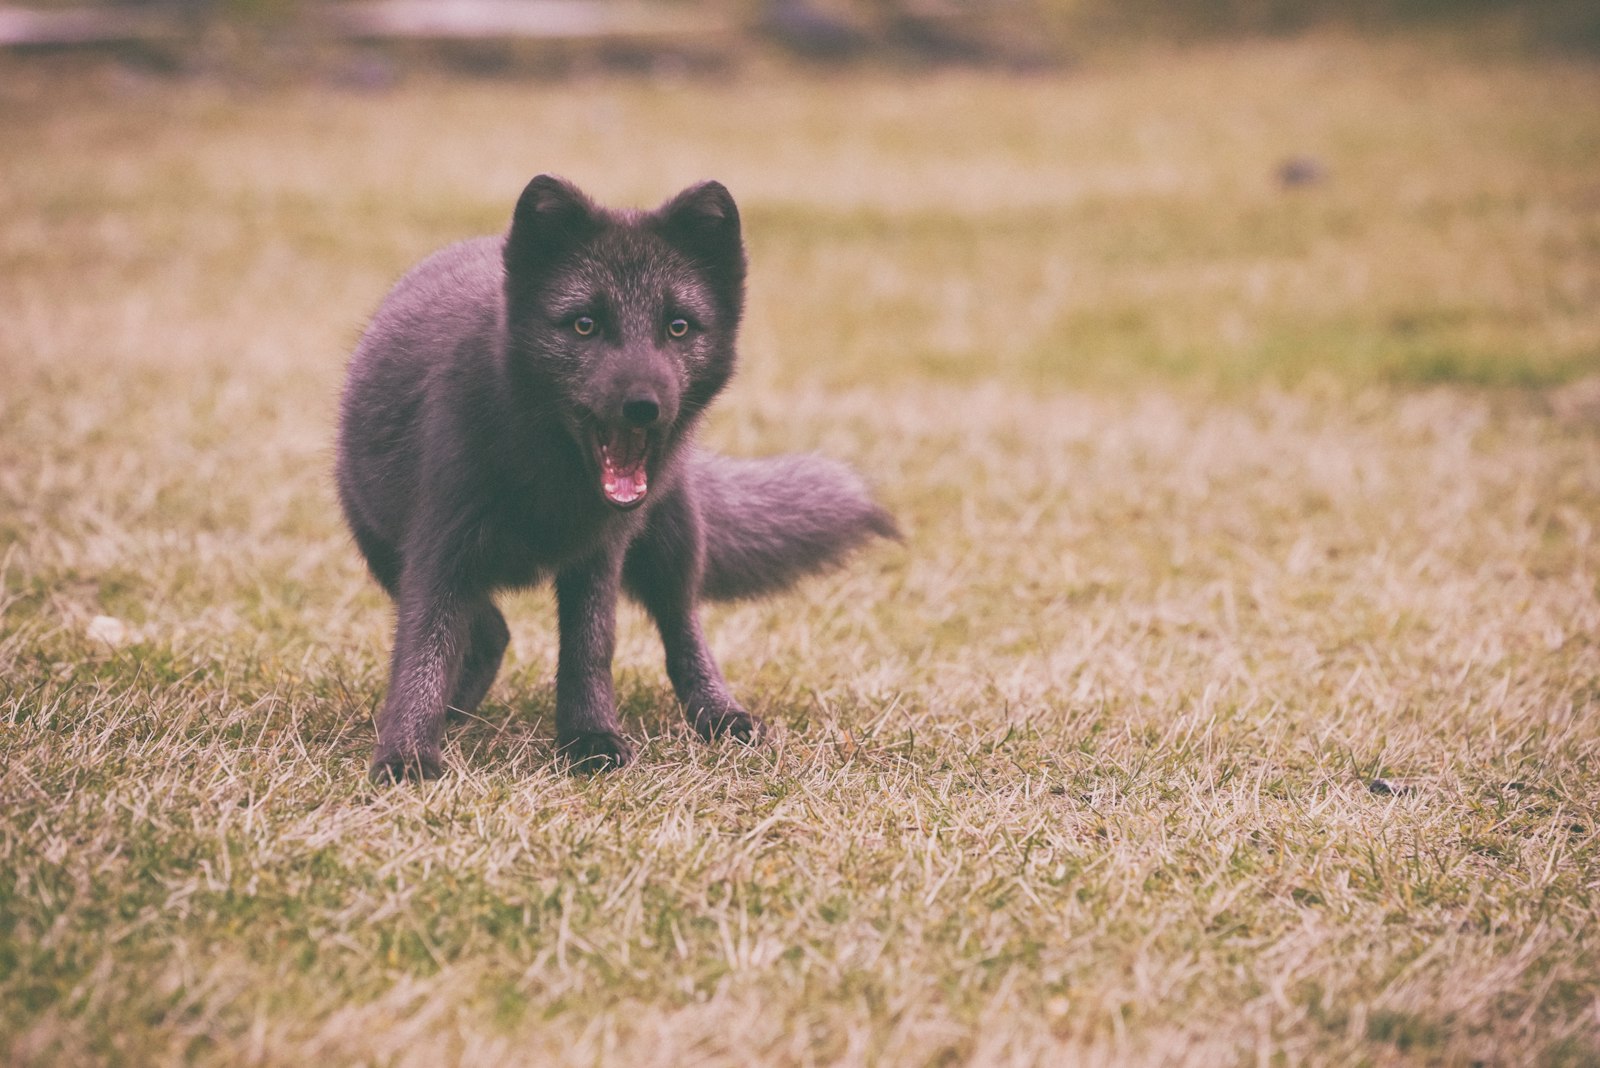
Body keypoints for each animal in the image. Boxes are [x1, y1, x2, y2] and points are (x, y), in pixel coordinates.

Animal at [336, 173, 896, 777]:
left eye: (678, 327)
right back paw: (456, 712)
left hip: (673, 541)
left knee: (683, 628)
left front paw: (590, 738)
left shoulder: (599, 554)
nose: (643, 407)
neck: (549, 482)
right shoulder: (439, 551)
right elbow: (424, 653)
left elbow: (590, 649)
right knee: (490, 631)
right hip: (385, 553)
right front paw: (407, 756)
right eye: (585, 325)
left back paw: (721, 718)